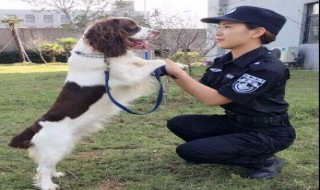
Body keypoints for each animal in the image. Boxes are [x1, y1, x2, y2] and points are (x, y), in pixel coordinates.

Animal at [9, 17, 185, 189]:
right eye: (131, 26)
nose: (157, 31)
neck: (101, 54)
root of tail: (35, 127)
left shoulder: (130, 64)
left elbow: (147, 61)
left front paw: (180, 64)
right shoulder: (128, 75)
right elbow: (154, 63)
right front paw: (174, 64)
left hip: (64, 146)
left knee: (47, 166)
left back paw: (55, 175)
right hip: (57, 146)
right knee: (42, 169)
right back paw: (48, 185)